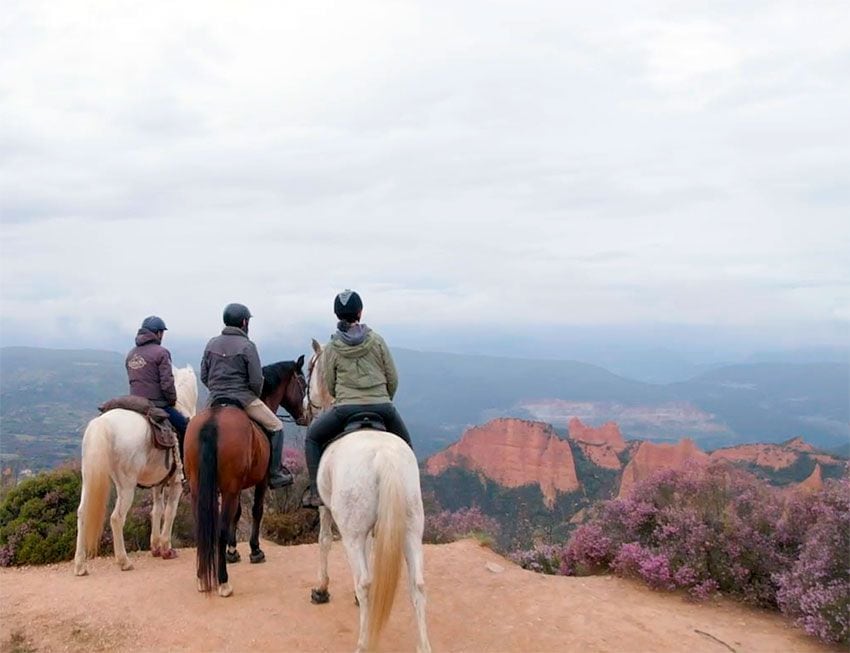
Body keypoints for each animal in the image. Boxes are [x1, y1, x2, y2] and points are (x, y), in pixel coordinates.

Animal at [72, 366, 197, 576]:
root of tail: (103, 424)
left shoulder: (157, 483)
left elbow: (156, 510)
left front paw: (155, 547)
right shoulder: (176, 483)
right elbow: (170, 512)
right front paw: (166, 548)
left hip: (89, 479)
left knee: (82, 513)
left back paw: (80, 565)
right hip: (126, 486)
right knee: (116, 518)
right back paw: (124, 561)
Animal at [184, 356, 306, 596]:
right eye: (303, 385)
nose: (306, 417)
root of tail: (213, 421)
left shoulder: (236, 486)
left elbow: (238, 514)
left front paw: (233, 551)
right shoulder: (260, 482)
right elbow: (256, 511)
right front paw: (255, 550)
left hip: (199, 489)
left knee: (202, 528)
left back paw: (202, 577)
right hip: (230, 489)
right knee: (220, 529)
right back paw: (223, 581)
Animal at [304, 338, 430, 648]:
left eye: (310, 368)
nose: (304, 408)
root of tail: (383, 456)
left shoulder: (326, 508)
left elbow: (324, 541)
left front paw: (321, 589)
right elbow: (374, 551)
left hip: (351, 533)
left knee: (364, 582)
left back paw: (363, 643)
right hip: (411, 527)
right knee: (417, 585)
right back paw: (423, 645)